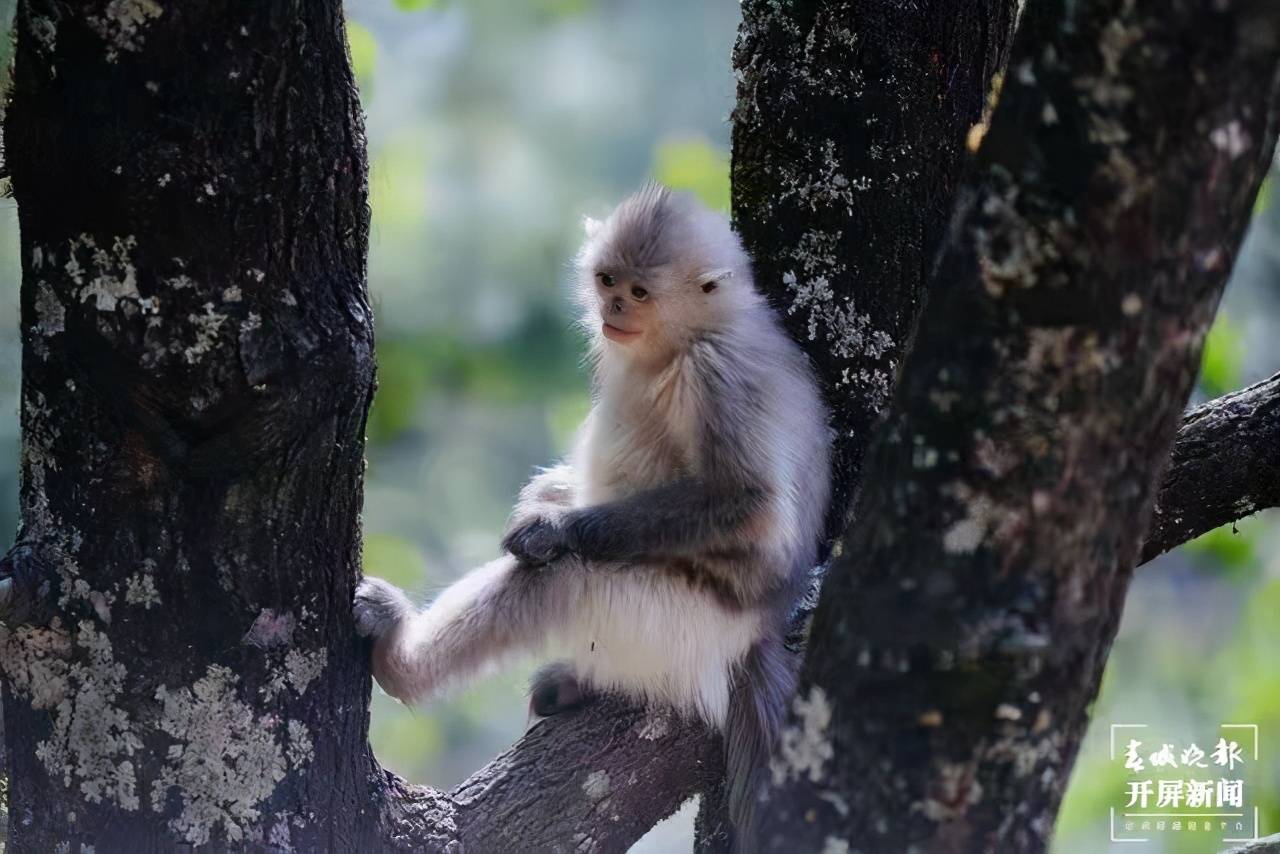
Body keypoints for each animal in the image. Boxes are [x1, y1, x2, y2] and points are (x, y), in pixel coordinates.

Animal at [353, 181, 829, 839]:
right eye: (607, 281)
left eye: (640, 293)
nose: (616, 308)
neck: (695, 333)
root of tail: (756, 635)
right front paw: (545, 496)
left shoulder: (717, 374)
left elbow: (748, 503)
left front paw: (552, 527)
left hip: (672, 625)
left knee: (558, 577)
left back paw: (403, 661)